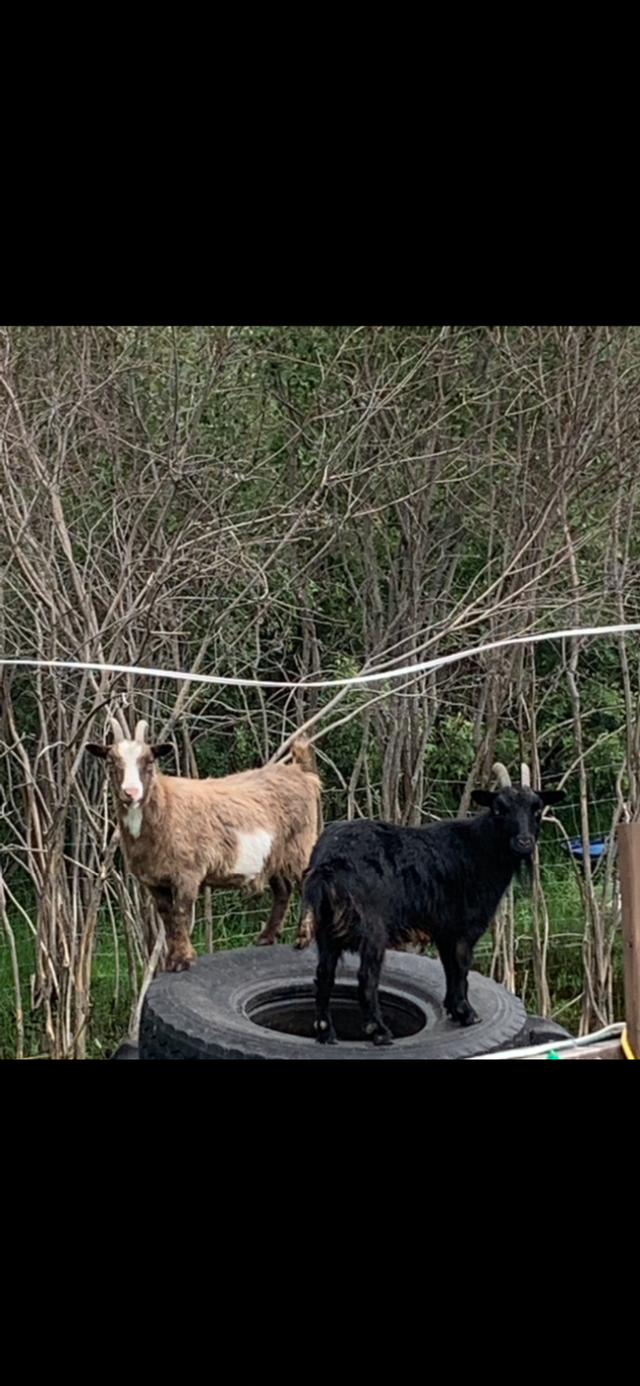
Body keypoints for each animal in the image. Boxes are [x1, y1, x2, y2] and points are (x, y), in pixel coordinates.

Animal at [87, 717, 322, 972]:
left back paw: (302, 937)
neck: (165, 805)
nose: (131, 792)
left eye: (149, 761)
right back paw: (266, 937)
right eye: (111, 761)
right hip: (273, 855)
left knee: (306, 882)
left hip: (300, 845)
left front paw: (182, 960)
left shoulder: (187, 873)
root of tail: (301, 772)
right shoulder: (154, 881)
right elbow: (167, 916)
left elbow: (181, 913)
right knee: (283, 889)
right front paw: (172, 959)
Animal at [297, 763, 564, 1045]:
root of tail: (327, 863)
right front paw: (467, 1013)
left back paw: (326, 1032)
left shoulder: (445, 929)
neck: (481, 848)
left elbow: (448, 967)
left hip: (325, 926)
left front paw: (453, 1008)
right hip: (372, 926)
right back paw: (379, 1031)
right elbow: (461, 967)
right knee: (366, 977)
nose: (524, 842)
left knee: (324, 974)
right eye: (499, 810)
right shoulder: (465, 927)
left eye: (537, 810)